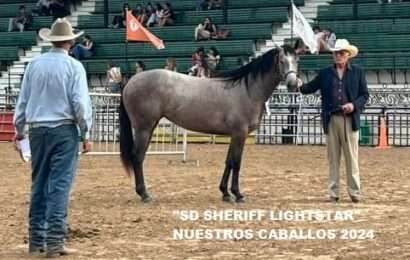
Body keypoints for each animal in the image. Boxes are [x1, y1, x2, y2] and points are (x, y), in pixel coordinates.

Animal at [118, 46, 298, 203]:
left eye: (297, 60)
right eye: (282, 61)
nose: (293, 83)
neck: (247, 90)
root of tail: (131, 81)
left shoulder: (235, 135)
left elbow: (229, 161)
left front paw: (225, 193)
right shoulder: (240, 134)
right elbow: (236, 163)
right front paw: (238, 194)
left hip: (150, 127)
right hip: (143, 128)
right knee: (137, 156)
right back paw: (144, 194)